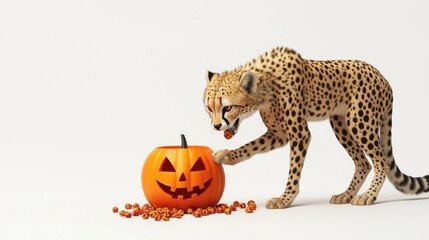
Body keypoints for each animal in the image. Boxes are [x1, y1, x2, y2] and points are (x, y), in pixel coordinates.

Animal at [203, 46, 428, 208]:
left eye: (228, 107)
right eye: (208, 108)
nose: (216, 126)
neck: (265, 85)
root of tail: (382, 77)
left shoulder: (299, 134)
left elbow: (293, 169)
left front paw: (285, 199)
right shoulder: (278, 134)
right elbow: (251, 147)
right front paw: (228, 155)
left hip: (360, 122)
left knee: (382, 161)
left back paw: (368, 196)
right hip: (339, 123)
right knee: (363, 163)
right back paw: (346, 194)